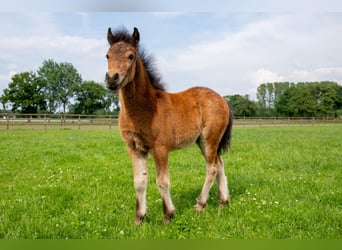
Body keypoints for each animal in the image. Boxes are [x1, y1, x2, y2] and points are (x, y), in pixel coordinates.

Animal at [105, 26, 232, 225]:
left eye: (131, 56)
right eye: (107, 56)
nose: (111, 79)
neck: (146, 107)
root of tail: (223, 100)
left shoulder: (160, 149)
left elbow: (162, 181)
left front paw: (168, 215)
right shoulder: (134, 148)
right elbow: (139, 182)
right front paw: (139, 218)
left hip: (209, 139)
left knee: (212, 167)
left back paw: (200, 205)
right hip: (203, 142)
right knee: (219, 163)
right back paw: (223, 202)